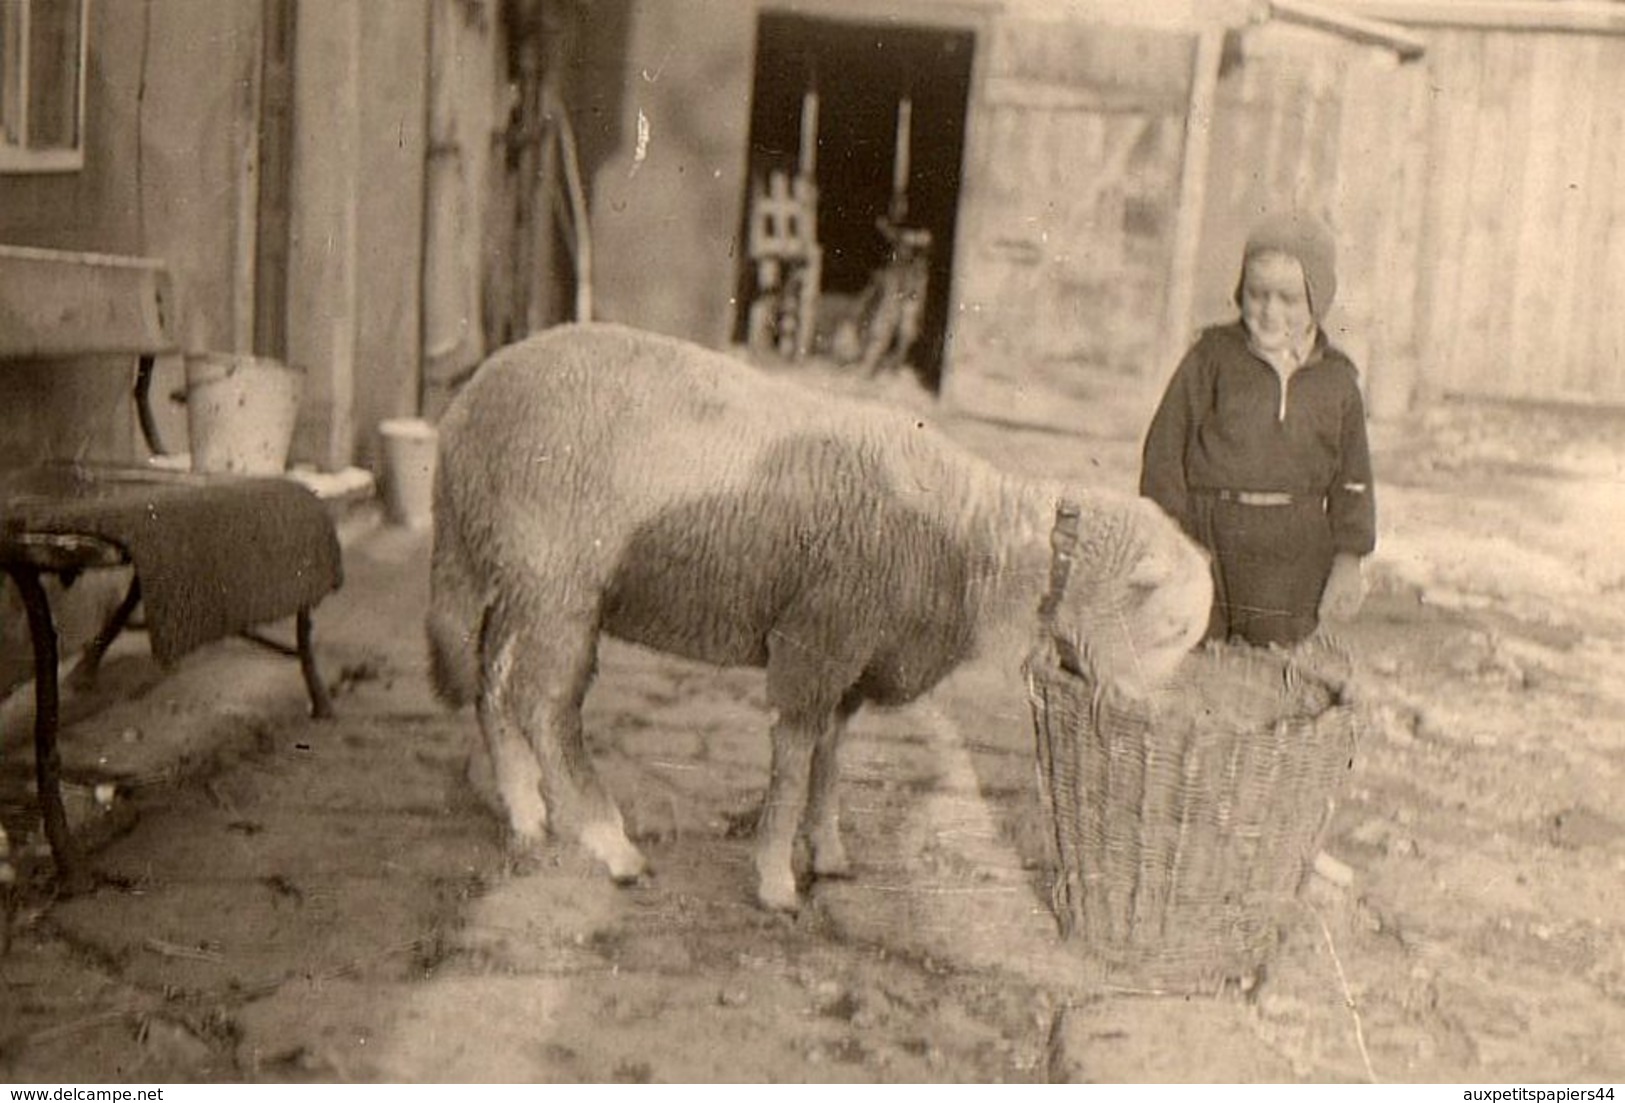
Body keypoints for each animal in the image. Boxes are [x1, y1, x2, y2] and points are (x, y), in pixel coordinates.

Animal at [425, 321, 1215, 916]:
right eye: (1175, 628)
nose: (1159, 714)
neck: (977, 545)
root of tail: (464, 412)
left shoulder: (854, 656)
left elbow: (831, 759)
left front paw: (827, 850)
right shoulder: (815, 641)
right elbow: (793, 758)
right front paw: (776, 878)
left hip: (516, 571)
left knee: (492, 687)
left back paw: (525, 812)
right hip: (561, 579)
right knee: (546, 707)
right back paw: (610, 844)